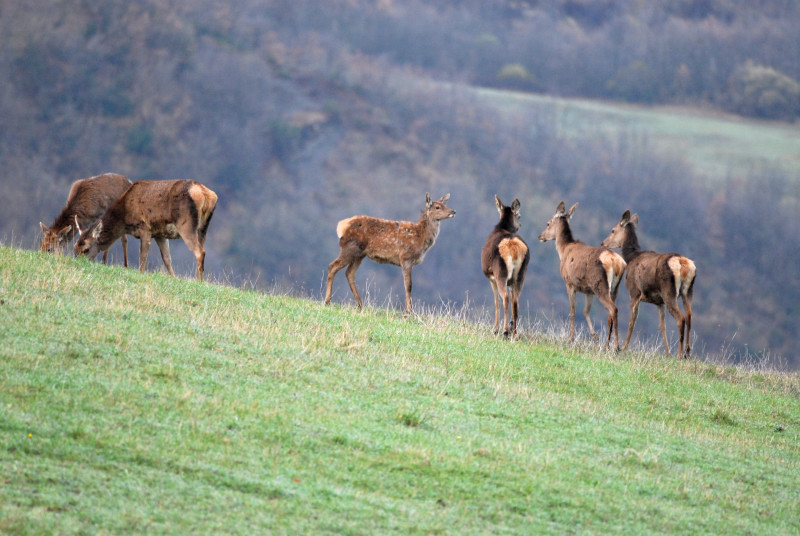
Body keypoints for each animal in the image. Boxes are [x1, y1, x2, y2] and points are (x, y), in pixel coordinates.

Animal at [74, 179, 217, 282]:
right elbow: (166, 258)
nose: (77, 263)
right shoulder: (159, 234)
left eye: (86, 249)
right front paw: (174, 278)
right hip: (203, 228)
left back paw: (199, 281)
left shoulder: (144, 227)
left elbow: (142, 256)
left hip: (186, 224)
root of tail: (208, 195)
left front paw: (140, 273)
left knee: (200, 252)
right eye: (75, 248)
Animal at [322, 193, 454, 312]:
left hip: (360, 254)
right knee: (332, 266)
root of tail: (341, 226)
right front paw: (409, 311)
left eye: (445, 204)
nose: (453, 211)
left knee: (349, 273)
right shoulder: (406, 257)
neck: (420, 237)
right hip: (350, 248)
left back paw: (359, 304)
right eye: (437, 207)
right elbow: (408, 285)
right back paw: (327, 301)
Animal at [482, 195, 532, 338]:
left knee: (505, 298)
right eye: (519, 216)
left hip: (501, 272)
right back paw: (514, 333)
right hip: (521, 274)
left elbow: (496, 302)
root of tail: (513, 247)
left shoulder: (491, 277)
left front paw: (495, 329)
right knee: (515, 301)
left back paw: (504, 331)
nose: (519, 225)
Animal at [536, 203, 624, 350]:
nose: (540, 236)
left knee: (614, 309)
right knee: (611, 313)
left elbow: (573, 312)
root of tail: (616, 262)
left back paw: (616, 347)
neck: (563, 250)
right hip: (614, 288)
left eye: (548, 223)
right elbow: (586, 311)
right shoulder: (589, 291)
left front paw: (570, 339)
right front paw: (594, 336)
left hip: (600, 285)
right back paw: (607, 345)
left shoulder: (569, 283)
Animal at [600, 211, 692, 358]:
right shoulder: (659, 302)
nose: (603, 243)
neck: (631, 257)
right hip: (687, 292)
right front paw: (667, 352)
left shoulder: (634, 292)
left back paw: (679, 354)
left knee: (681, 318)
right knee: (689, 316)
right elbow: (662, 326)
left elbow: (632, 320)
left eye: (613, 230)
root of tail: (683, 264)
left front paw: (624, 347)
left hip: (669, 292)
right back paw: (687, 352)